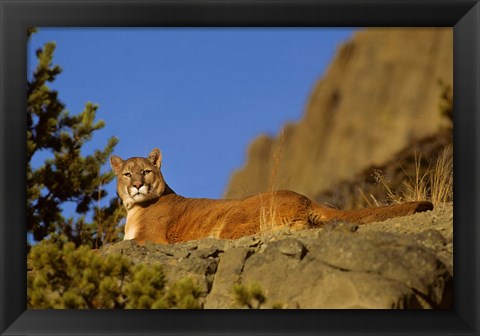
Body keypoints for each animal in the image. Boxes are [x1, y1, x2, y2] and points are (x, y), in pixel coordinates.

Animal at [110, 148, 434, 244]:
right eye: (127, 174)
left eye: (145, 172)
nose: (136, 185)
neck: (134, 209)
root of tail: (305, 197)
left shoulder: (150, 239)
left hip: (234, 219)